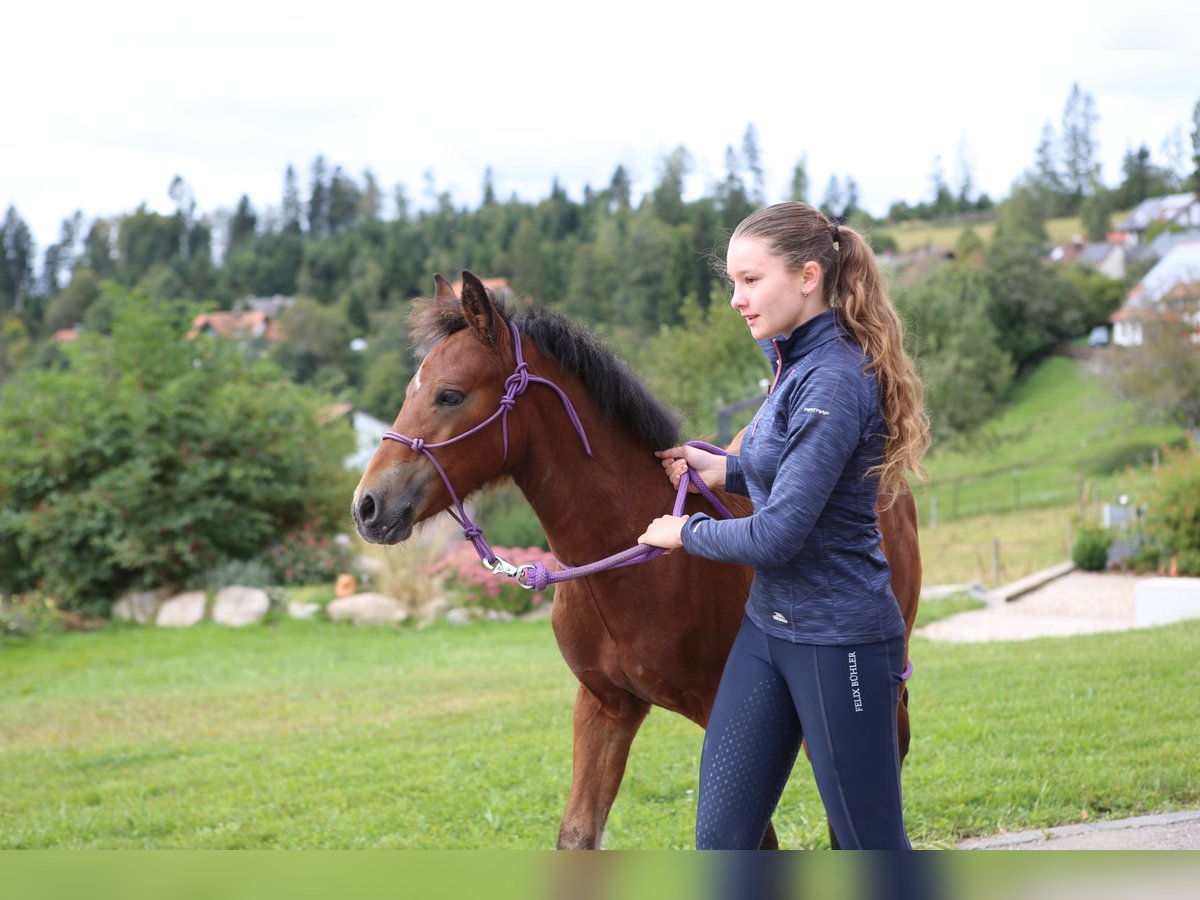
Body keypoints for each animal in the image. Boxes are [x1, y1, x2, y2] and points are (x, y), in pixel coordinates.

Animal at [350, 271, 921, 849]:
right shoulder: (605, 705)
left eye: (450, 394)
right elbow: (578, 834)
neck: (626, 567)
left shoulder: (720, 709)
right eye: (410, 392)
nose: (367, 506)